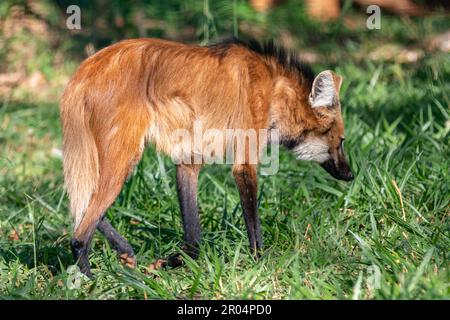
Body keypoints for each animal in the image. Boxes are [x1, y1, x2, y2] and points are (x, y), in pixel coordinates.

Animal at [60, 38, 356, 278]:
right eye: (341, 141)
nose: (351, 175)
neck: (276, 88)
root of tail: (83, 70)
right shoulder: (244, 162)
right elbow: (253, 222)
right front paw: (261, 263)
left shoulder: (189, 160)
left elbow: (194, 240)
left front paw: (172, 263)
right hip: (125, 156)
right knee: (80, 231)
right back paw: (89, 280)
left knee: (85, 207)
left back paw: (124, 252)